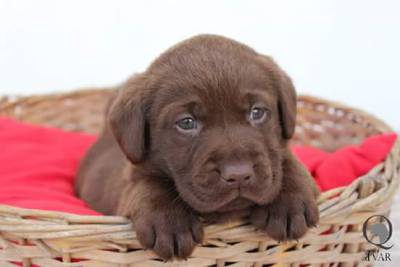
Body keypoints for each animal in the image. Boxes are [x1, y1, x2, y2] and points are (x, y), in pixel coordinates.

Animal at [76, 34, 318, 262]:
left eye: (257, 112)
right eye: (186, 122)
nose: (238, 174)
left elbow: (289, 163)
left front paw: (289, 204)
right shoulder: (132, 176)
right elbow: (147, 184)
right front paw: (170, 223)